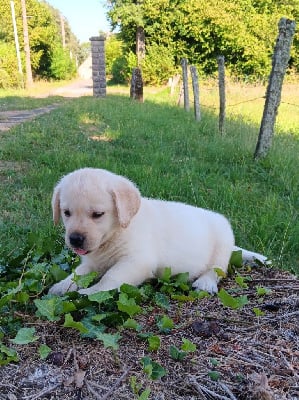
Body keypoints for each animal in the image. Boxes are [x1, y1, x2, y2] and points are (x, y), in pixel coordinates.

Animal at [49, 167, 268, 296]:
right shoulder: (92, 262)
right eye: (66, 212)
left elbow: (110, 278)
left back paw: (205, 283)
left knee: (217, 269)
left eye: (97, 214)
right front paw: (61, 286)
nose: (75, 239)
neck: (116, 233)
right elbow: (77, 274)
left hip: (222, 242)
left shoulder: (136, 262)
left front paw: (89, 292)